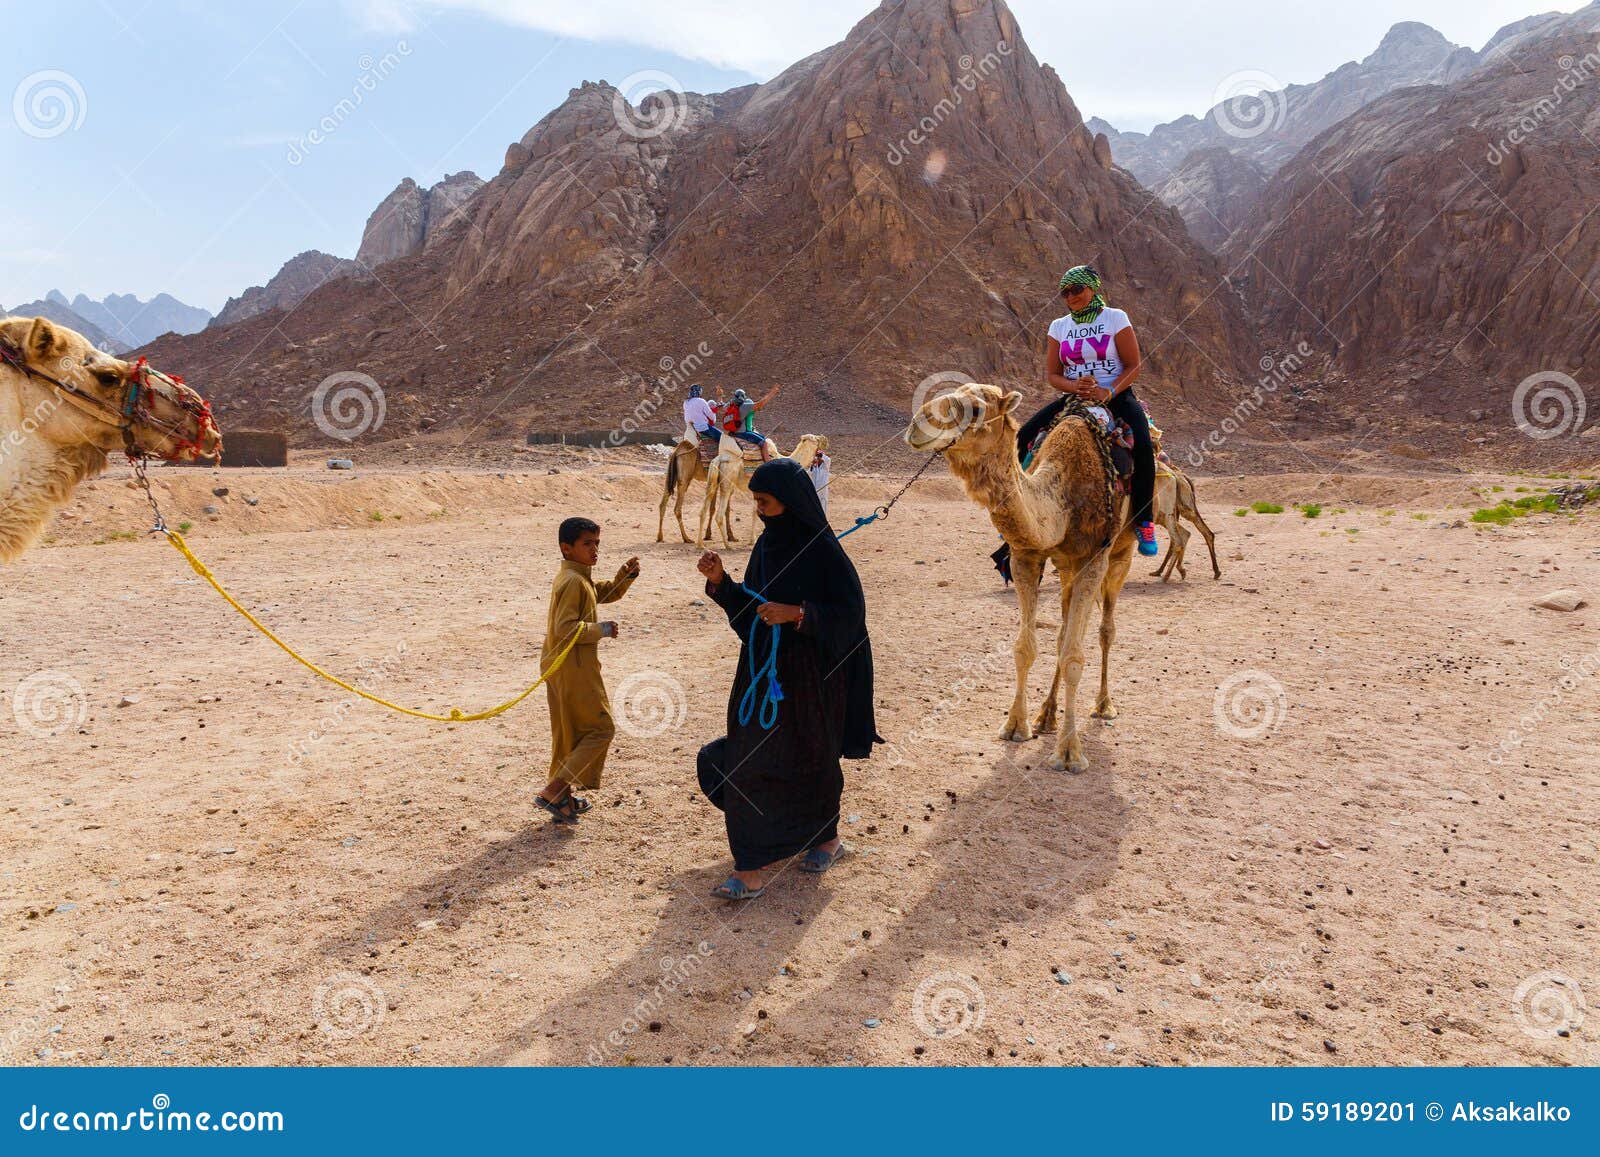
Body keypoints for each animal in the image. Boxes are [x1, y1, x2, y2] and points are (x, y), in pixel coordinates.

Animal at [697, 432, 825, 550]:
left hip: (712, 483)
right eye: (815, 439)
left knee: (703, 510)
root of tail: (719, 459)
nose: (824, 440)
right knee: (719, 515)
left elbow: (755, 512)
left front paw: (751, 540)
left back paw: (701, 544)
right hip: (727, 484)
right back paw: (727, 546)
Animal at [908, 384, 1132, 774]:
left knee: (1105, 631)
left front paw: (1070, 753)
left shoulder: (1094, 559)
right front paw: (1016, 726)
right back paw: (1046, 716)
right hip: (1066, 569)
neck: (1062, 498)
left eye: (976, 409)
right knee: (1062, 632)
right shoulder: (1026, 556)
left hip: (1121, 554)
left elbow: (1074, 655)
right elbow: (1026, 647)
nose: (918, 423)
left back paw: (1103, 705)